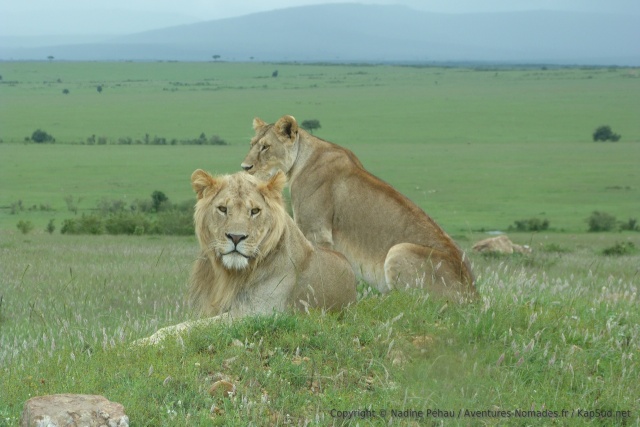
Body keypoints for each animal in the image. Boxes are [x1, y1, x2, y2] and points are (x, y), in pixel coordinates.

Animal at [241, 115, 477, 302]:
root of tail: (473, 294)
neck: (300, 160)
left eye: (265, 147)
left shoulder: (316, 231)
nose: (244, 167)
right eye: (251, 144)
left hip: (399, 250)